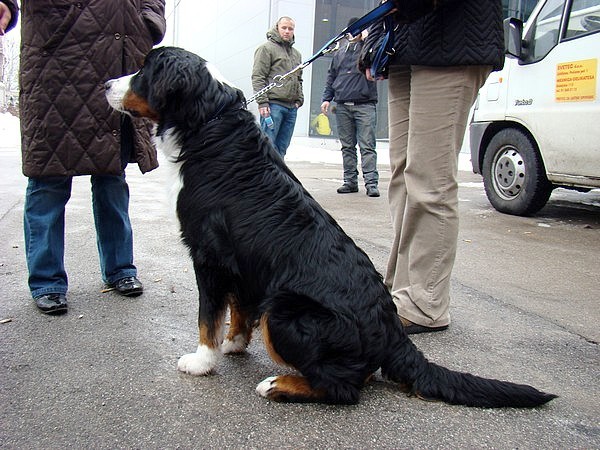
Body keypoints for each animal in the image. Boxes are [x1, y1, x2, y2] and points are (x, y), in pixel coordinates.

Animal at [104, 47, 556, 406]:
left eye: (144, 71)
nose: (106, 83)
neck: (208, 125)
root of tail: (392, 328)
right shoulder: (242, 261)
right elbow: (238, 306)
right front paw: (234, 342)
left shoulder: (209, 254)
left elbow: (208, 316)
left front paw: (202, 359)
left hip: (283, 310)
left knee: (343, 389)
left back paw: (278, 385)